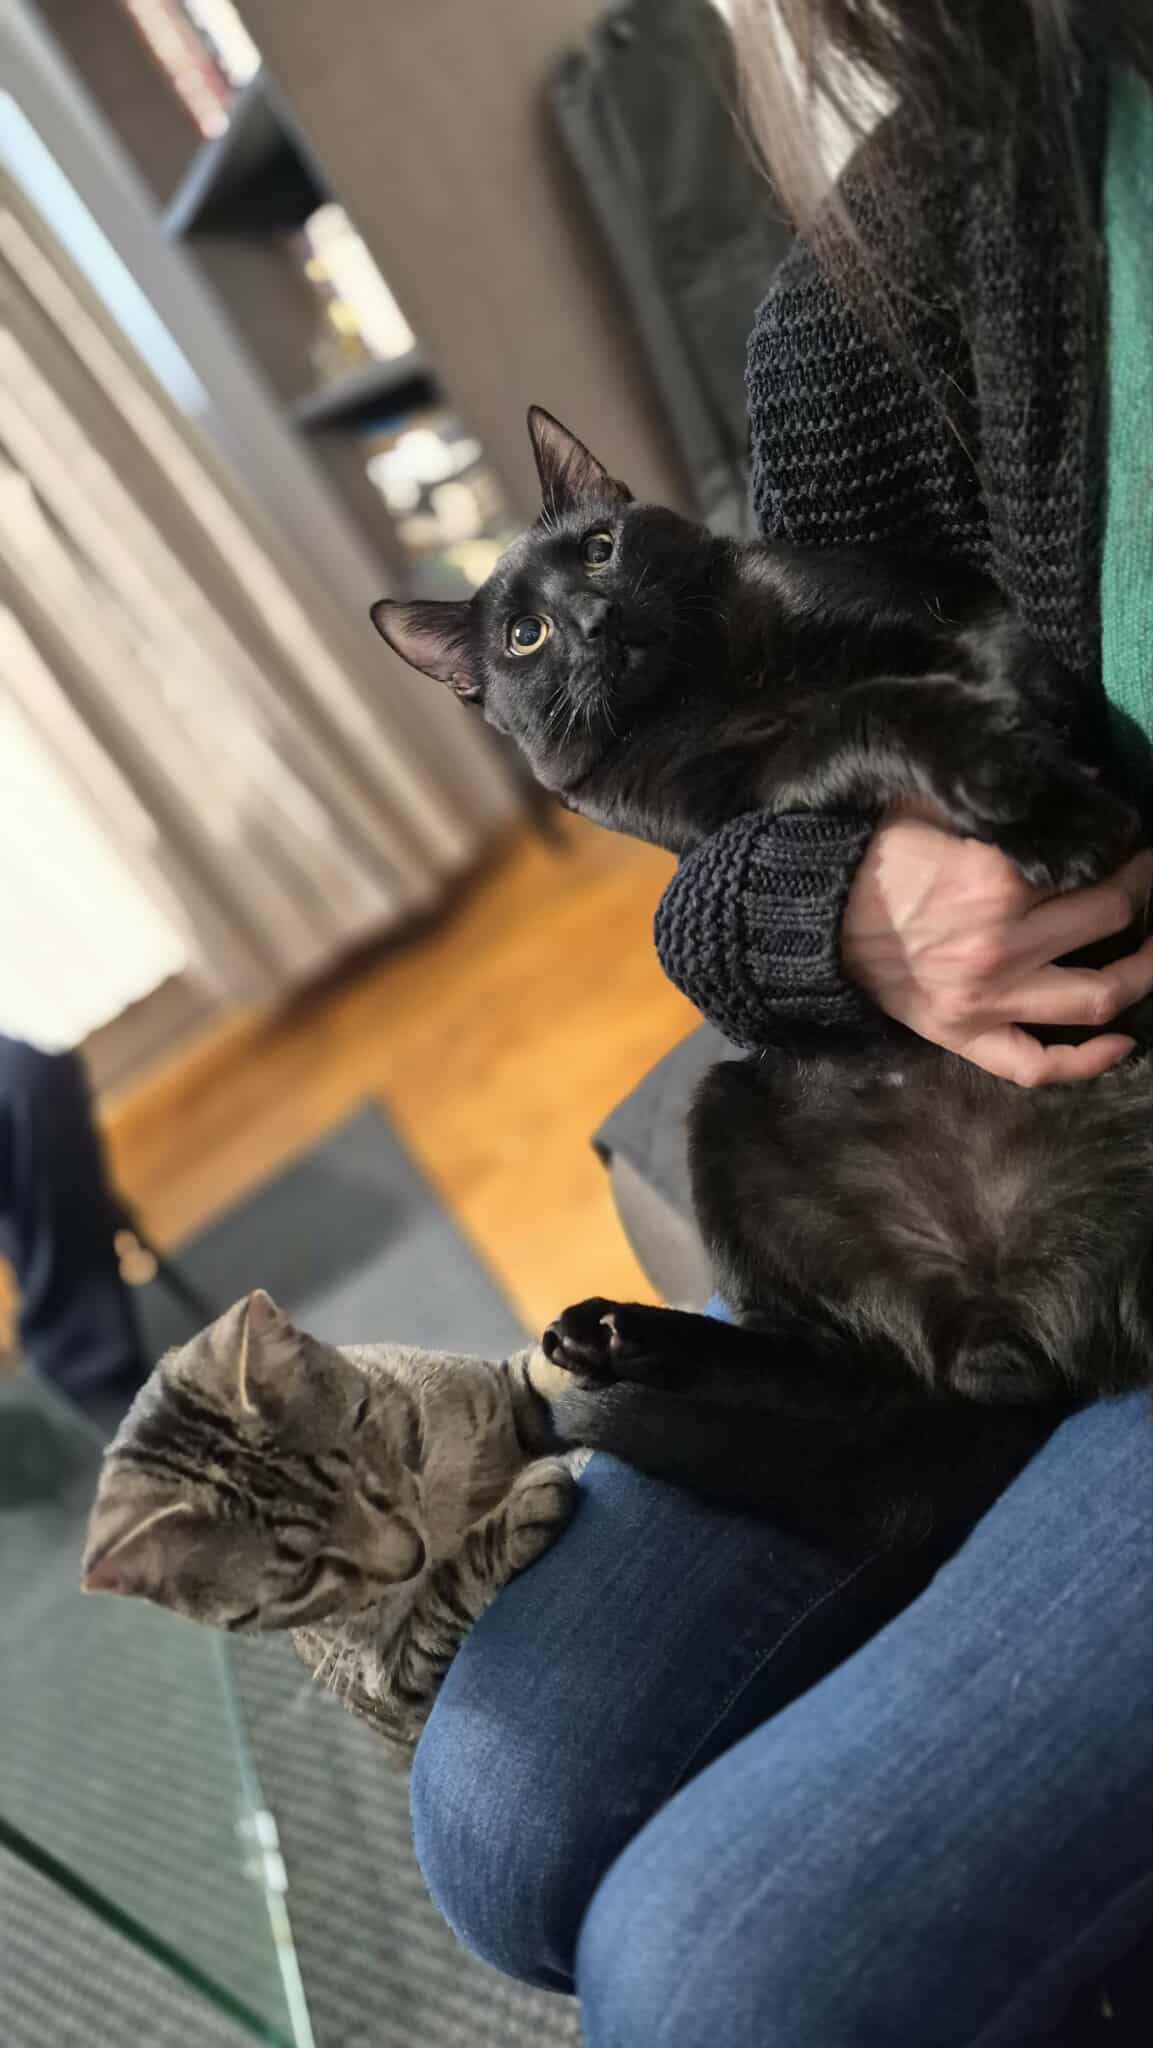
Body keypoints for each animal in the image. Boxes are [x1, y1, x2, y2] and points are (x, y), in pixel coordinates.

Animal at [82, 1290, 578, 1753]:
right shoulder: (395, 1686)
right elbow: (444, 1597)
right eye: (303, 1577)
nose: (412, 1558)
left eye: (365, 1465)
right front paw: (514, 1518)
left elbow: (527, 1377)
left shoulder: (487, 1383)